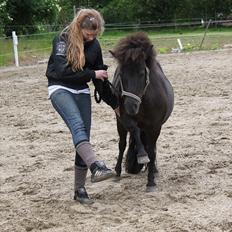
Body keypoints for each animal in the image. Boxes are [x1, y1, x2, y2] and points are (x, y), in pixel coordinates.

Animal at [110, 32, 174, 192]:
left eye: (141, 73)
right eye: (121, 74)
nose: (130, 106)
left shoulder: (155, 126)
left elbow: (152, 150)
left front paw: (151, 180)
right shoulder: (124, 118)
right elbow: (134, 133)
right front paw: (141, 156)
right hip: (119, 123)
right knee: (122, 144)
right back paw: (118, 172)